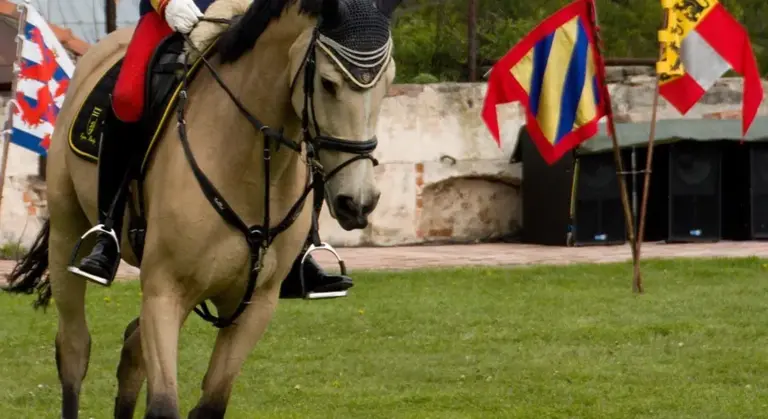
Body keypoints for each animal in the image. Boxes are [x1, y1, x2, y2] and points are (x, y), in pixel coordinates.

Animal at [2, 0, 401, 417]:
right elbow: (164, 404)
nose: (358, 201)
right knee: (74, 349)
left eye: (388, 81)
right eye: (327, 82)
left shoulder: (255, 305)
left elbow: (210, 403)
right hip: (68, 234)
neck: (247, 162)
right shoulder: (165, 291)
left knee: (131, 351)